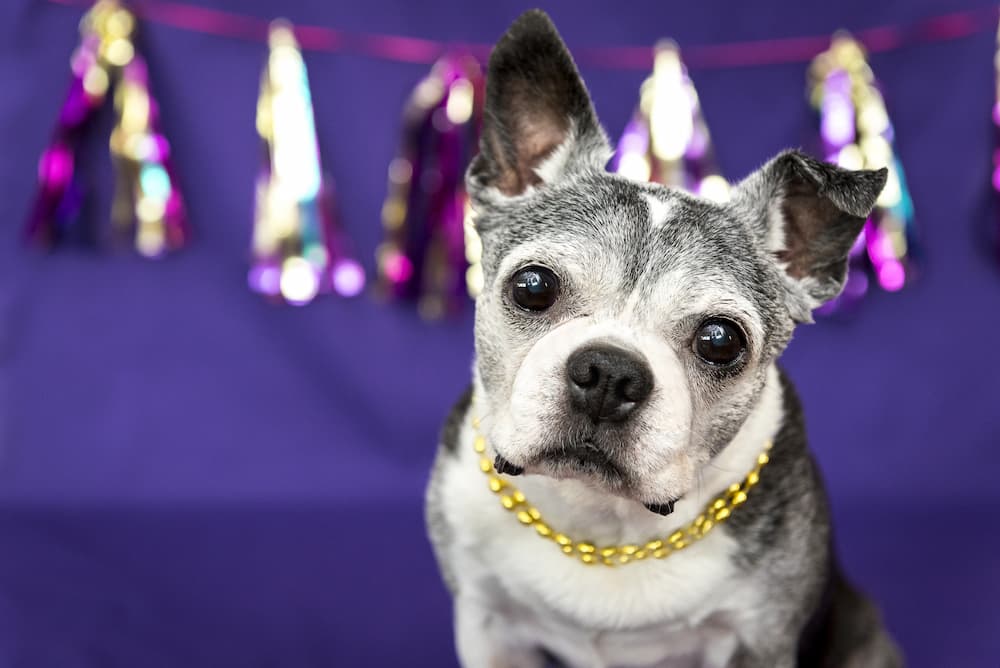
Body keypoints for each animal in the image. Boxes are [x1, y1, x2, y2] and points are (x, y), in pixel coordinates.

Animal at [426, 10, 904, 668]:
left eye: (721, 341)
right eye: (532, 287)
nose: (608, 371)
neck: (606, 526)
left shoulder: (760, 639)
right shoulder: (488, 623)